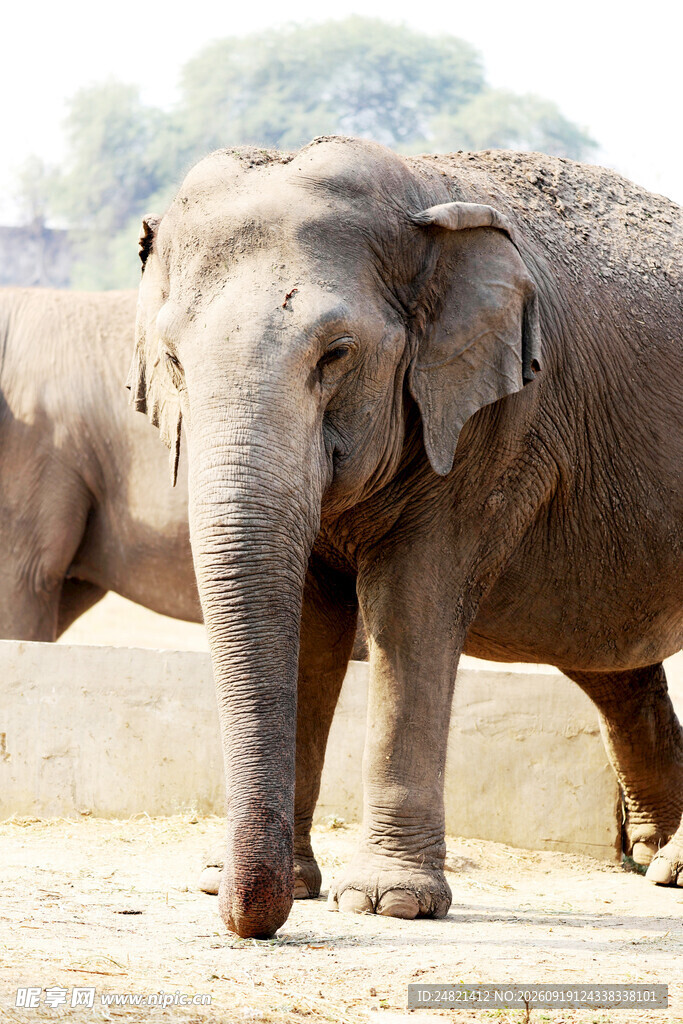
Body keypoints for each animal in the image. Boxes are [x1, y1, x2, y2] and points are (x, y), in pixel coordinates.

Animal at [130, 136, 683, 939]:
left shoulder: (493, 429)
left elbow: (412, 610)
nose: (245, 920)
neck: (420, 200)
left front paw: (386, 903)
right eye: (173, 360)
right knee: (613, 665)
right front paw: (269, 886)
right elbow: (309, 625)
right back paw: (663, 865)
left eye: (336, 353)